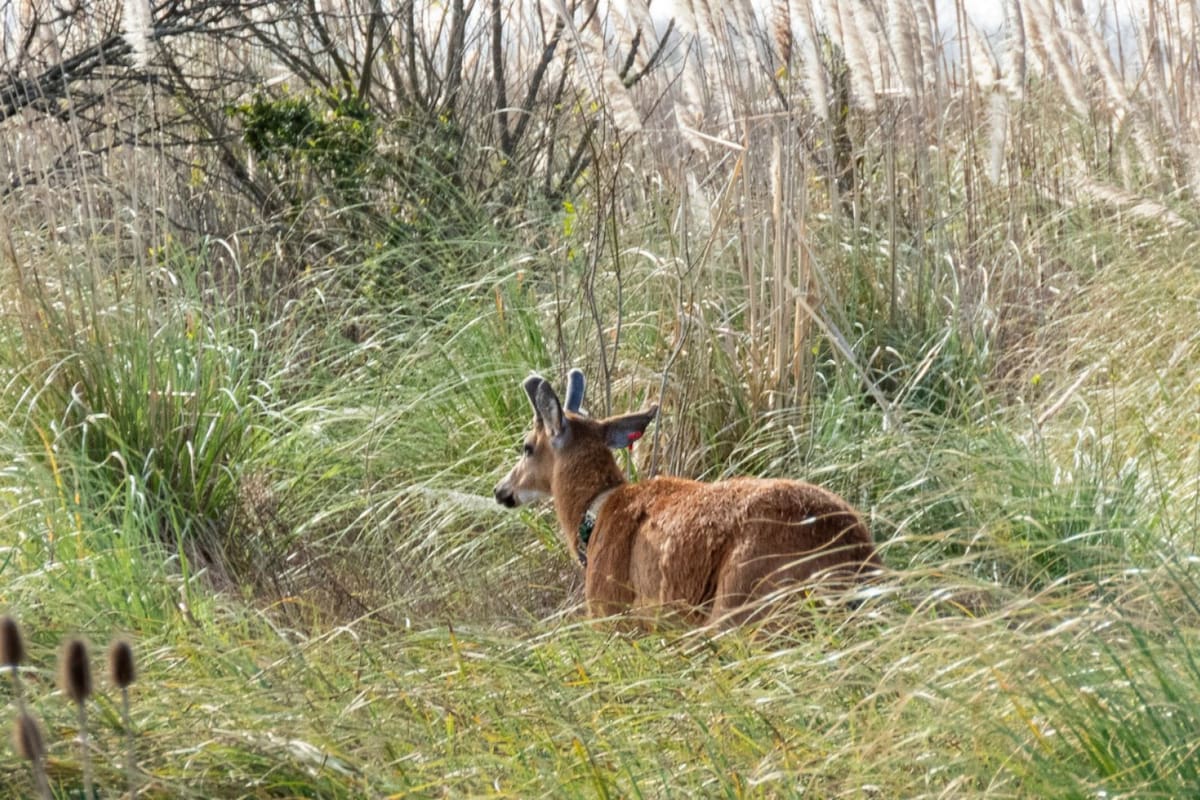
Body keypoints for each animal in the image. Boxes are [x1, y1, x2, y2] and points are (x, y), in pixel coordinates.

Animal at [493, 370, 883, 627]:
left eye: (527, 447)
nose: (501, 490)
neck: (596, 513)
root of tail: (854, 556)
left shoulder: (611, 610)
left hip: (742, 601)